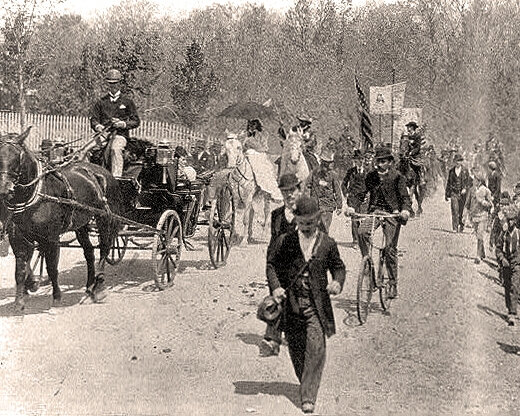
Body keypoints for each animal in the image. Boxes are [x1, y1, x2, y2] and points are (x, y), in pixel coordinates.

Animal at [0, 128, 120, 310]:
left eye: (17, 157)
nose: (4, 189)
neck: (37, 193)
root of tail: (102, 172)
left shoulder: (51, 238)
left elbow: (52, 268)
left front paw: (56, 298)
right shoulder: (18, 237)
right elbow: (20, 269)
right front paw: (19, 301)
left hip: (104, 218)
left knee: (104, 249)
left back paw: (98, 287)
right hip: (81, 224)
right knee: (89, 252)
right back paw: (89, 286)